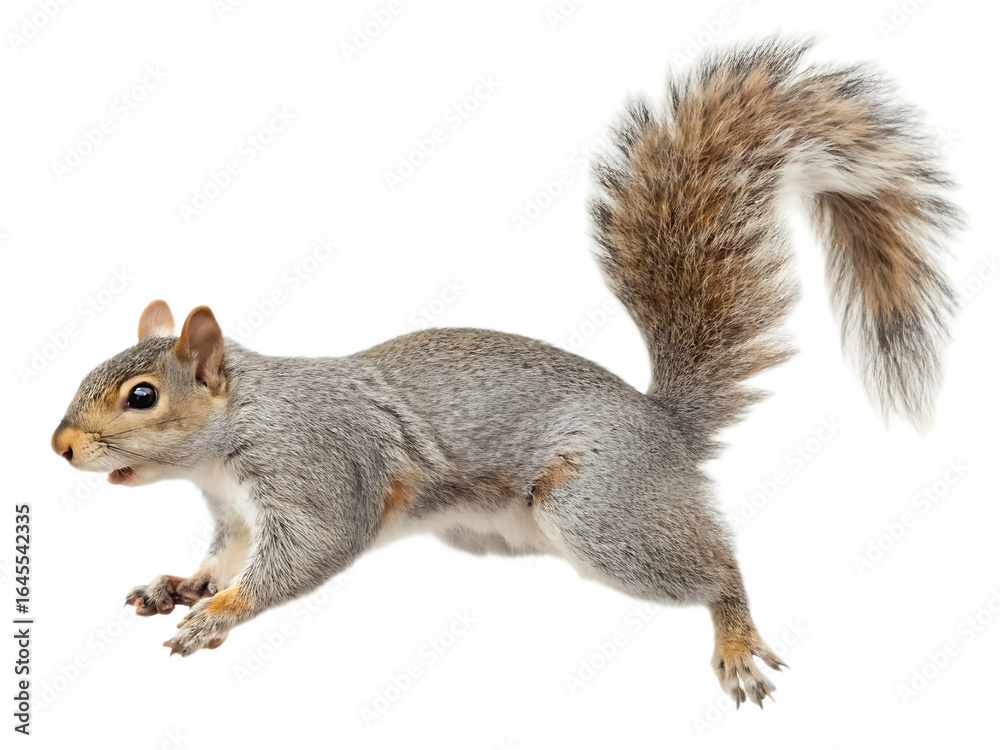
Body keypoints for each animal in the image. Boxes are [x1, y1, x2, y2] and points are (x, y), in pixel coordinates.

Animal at [51, 38, 958, 708]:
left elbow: (310, 550)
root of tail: (663, 426)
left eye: (141, 396)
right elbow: (225, 552)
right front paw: (181, 585)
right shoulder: (234, 512)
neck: (230, 437)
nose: (59, 447)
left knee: (717, 564)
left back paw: (734, 634)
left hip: (600, 508)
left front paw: (218, 616)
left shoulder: (317, 468)